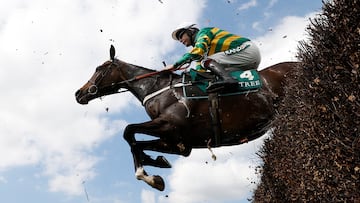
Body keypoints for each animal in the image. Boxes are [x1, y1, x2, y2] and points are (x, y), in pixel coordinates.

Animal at [74, 45, 296, 191]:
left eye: (99, 69)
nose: (78, 93)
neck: (159, 90)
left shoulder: (170, 125)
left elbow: (129, 131)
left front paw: (149, 172)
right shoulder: (178, 143)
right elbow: (137, 144)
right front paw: (156, 164)